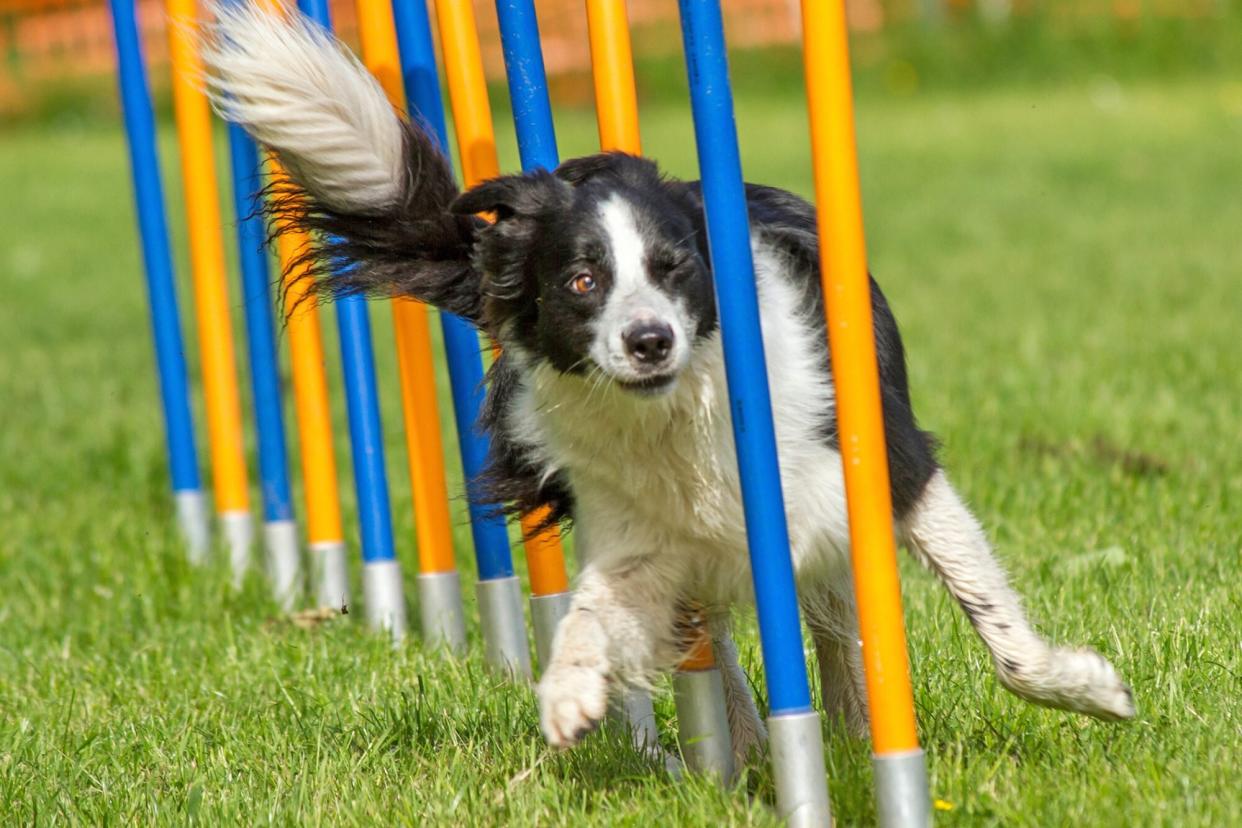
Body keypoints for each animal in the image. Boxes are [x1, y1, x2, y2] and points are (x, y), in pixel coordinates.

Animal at [201, 4, 1137, 759]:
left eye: (674, 265)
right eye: (582, 280)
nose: (648, 340)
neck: (684, 415)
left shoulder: (885, 467)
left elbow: (997, 631)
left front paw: (1092, 690)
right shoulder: (643, 536)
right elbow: (593, 610)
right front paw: (570, 694)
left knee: (830, 619)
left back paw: (838, 731)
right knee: (724, 639)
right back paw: (752, 748)